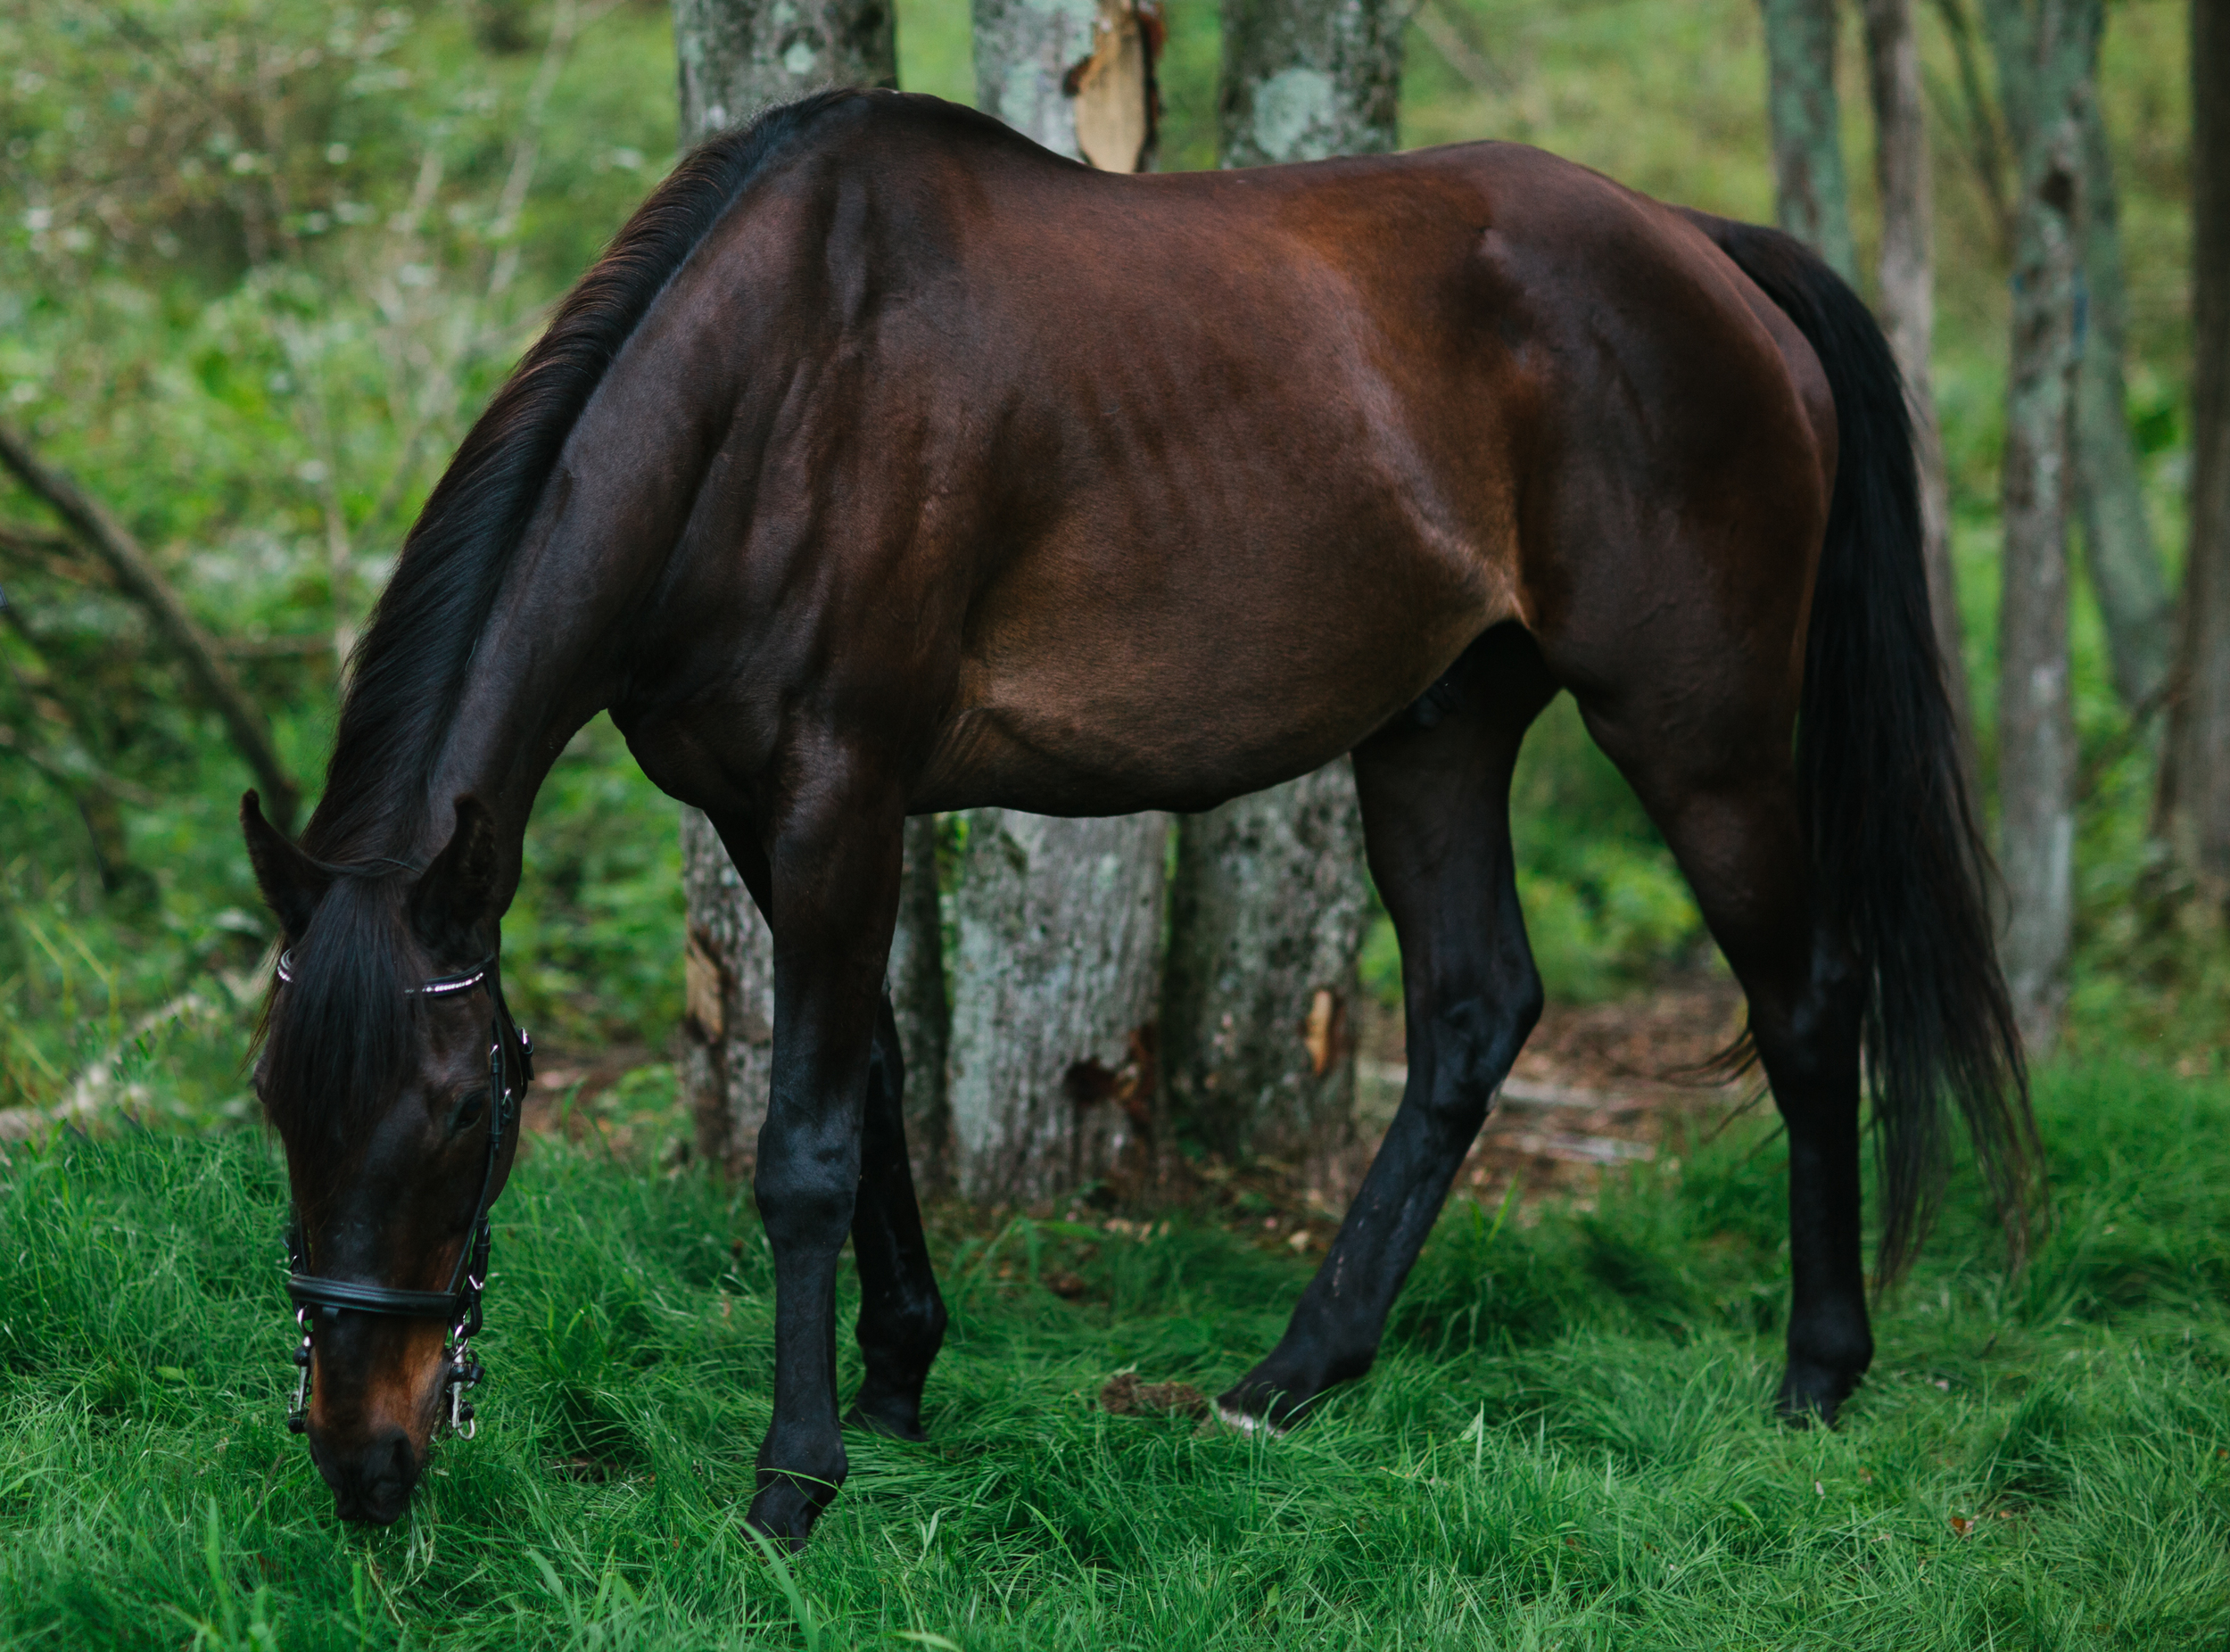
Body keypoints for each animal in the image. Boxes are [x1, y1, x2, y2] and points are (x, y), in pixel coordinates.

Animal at [239, 87, 2043, 1533]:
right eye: (274, 1106)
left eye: (462, 1113)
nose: (365, 1463)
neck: (775, 391)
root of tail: (1706, 249)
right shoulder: (772, 817)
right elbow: (878, 1077)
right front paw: (898, 1381)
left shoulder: (841, 799)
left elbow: (805, 1144)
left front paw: (794, 1478)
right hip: (1439, 729)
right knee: (1473, 1014)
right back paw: (1292, 1377)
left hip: (1698, 730)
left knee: (1806, 1001)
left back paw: (1818, 1372)